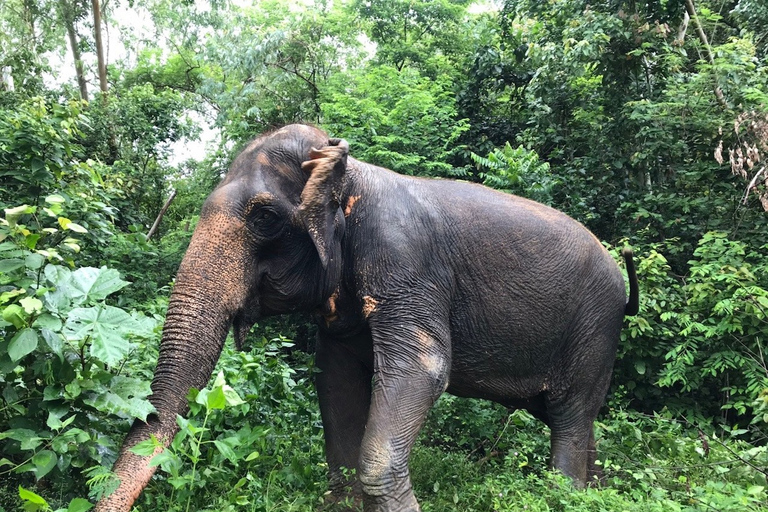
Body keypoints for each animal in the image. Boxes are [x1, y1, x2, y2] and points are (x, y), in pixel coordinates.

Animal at [94, 124, 636, 512]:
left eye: (264, 218)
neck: (350, 169)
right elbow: (335, 379)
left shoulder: (406, 261)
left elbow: (422, 369)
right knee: (573, 416)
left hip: (595, 326)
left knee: (569, 414)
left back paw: (567, 493)